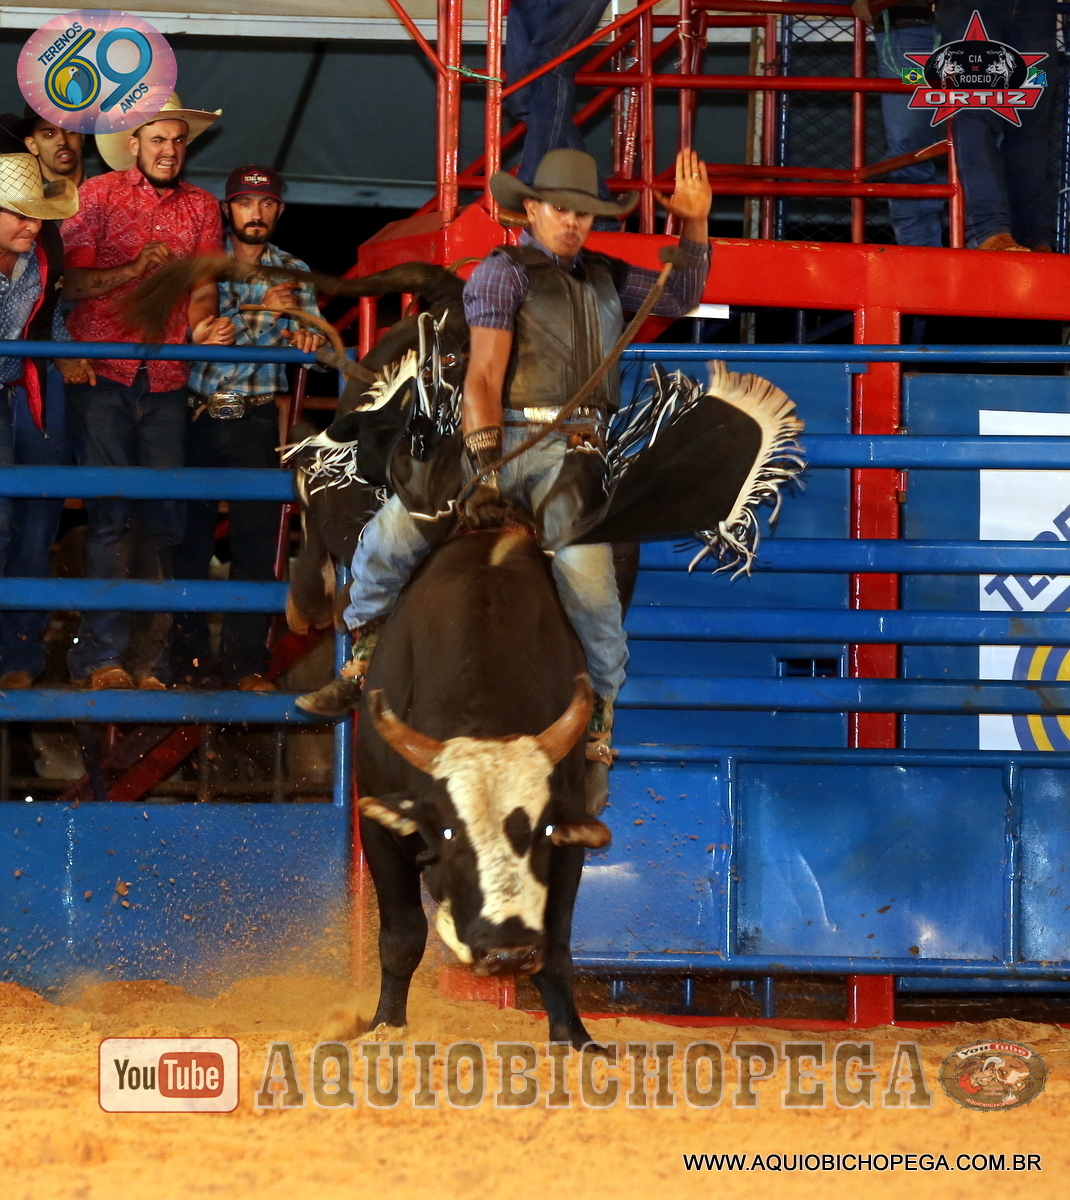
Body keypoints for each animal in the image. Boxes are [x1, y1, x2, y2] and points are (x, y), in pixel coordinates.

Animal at [355, 526, 612, 1048]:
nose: (507, 954)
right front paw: (385, 1026)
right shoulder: (378, 828)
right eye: (450, 833)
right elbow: (402, 937)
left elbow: (556, 948)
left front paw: (574, 1039)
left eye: (542, 832)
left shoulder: (569, 839)